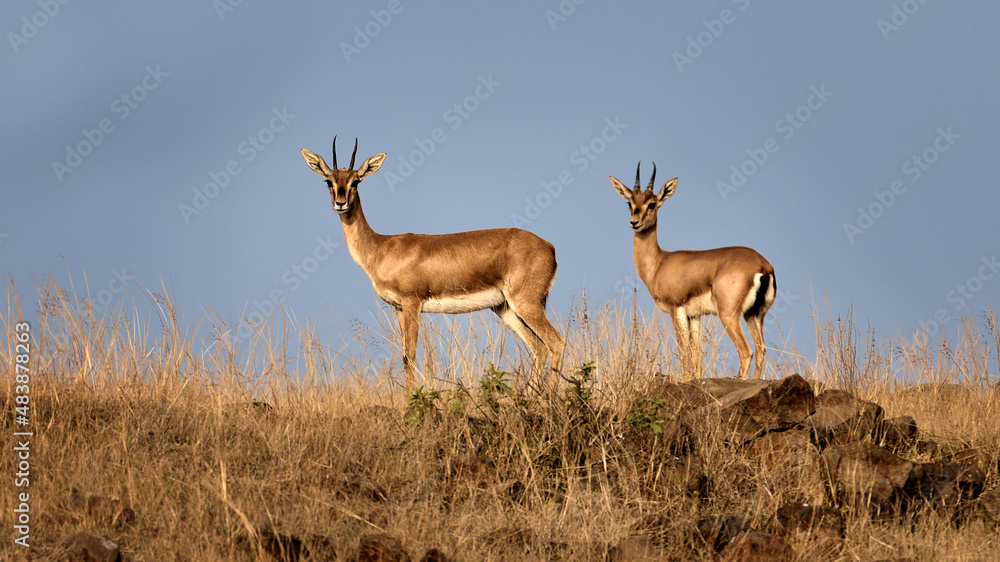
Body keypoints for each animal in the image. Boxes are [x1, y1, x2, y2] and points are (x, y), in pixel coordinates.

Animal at [301, 137, 565, 391]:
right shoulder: (399, 308)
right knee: (539, 347)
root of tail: (549, 246)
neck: (381, 248)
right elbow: (404, 357)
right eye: (328, 181)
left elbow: (410, 356)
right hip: (505, 308)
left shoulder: (412, 303)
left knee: (557, 342)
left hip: (525, 302)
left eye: (356, 181)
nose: (341, 203)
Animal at [610, 163, 776, 380]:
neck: (659, 263)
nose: (634, 222)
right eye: (629, 203)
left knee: (746, 351)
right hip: (754, 315)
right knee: (761, 348)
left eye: (652, 204)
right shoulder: (694, 316)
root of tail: (763, 266)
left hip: (729, 315)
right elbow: (696, 354)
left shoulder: (676, 310)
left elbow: (684, 351)